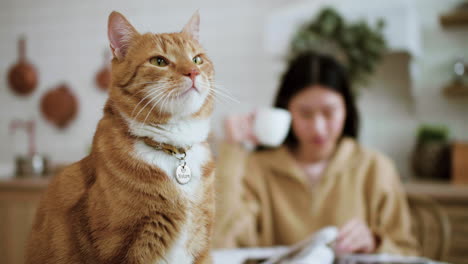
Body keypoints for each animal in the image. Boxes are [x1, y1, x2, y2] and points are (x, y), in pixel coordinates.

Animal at [25, 10, 216, 264]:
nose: (193, 72)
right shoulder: (123, 247)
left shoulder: (203, 244)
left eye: (197, 59)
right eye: (159, 61)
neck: (172, 148)